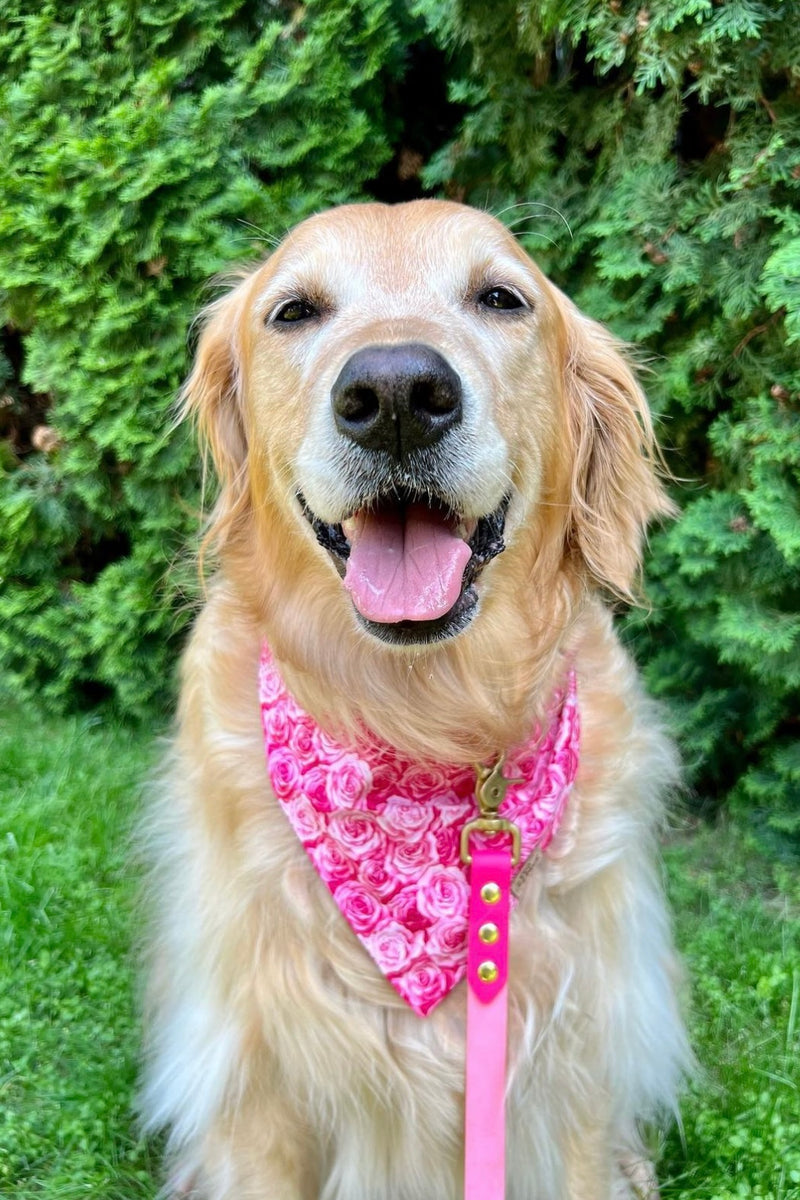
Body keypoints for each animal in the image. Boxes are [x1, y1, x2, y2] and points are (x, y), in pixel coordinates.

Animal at [140, 201, 690, 1195]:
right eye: (294, 312)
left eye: (501, 298)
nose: (396, 393)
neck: (426, 728)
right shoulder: (259, 1083)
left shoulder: (580, 1054)